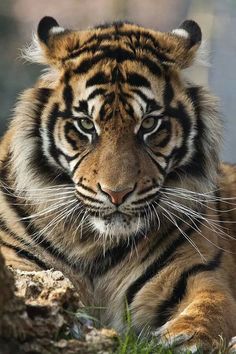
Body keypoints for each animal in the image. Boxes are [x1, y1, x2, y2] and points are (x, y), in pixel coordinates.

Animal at [0, 15, 236, 352]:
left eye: (149, 124)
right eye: (86, 125)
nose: (116, 193)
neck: (94, 244)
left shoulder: (199, 272)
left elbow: (212, 307)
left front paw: (185, 338)